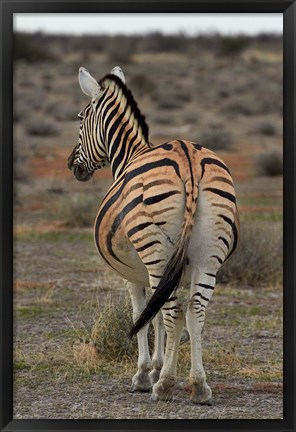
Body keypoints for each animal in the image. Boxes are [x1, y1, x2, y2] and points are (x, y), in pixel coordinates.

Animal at [67, 65, 238, 404]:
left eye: (80, 118)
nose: (72, 166)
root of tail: (188, 157)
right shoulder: (169, 272)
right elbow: (159, 315)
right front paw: (159, 366)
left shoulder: (133, 273)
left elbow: (143, 313)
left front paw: (147, 374)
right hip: (207, 256)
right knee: (195, 311)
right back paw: (199, 386)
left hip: (157, 253)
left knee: (172, 311)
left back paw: (166, 385)